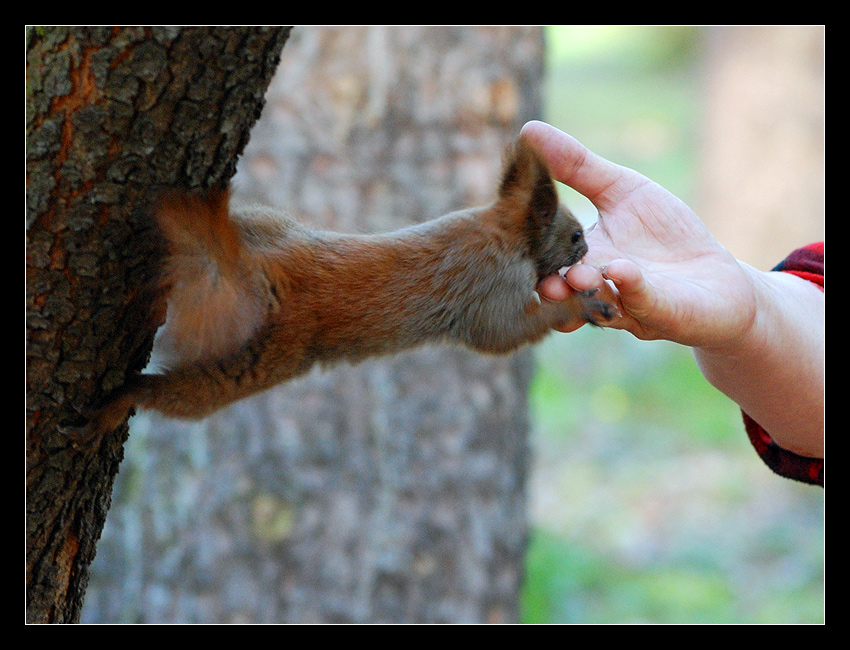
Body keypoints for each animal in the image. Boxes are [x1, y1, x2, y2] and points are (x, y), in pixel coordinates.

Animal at [63, 136, 612, 440]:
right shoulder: (491, 289)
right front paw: (581, 304)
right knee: (180, 392)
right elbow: (506, 332)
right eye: (574, 235)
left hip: (264, 225)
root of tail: (262, 267)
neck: (500, 231)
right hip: (257, 360)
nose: (587, 249)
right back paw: (120, 401)